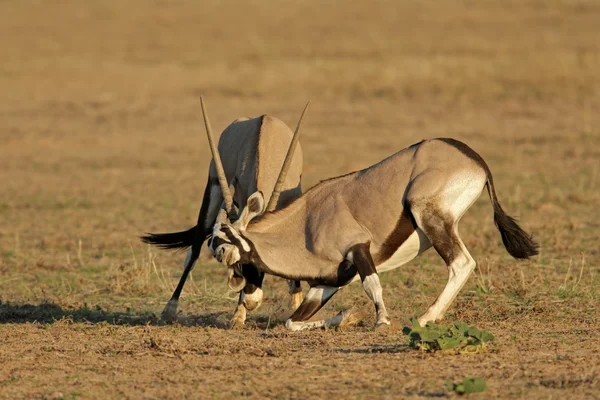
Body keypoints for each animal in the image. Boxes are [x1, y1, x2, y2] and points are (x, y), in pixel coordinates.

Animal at [142, 98, 310, 326]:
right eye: (241, 264)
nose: (252, 302)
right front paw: (238, 316)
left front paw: (296, 307)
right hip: (213, 189)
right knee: (193, 252)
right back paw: (169, 310)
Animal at [205, 138, 540, 332]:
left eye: (226, 239)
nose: (247, 298)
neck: (306, 224)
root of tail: (475, 160)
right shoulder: (328, 281)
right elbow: (291, 322)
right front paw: (346, 317)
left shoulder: (358, 249)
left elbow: (372, 285)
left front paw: (381, 321)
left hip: (429, 216)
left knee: (461, 263)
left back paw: (426, 317)